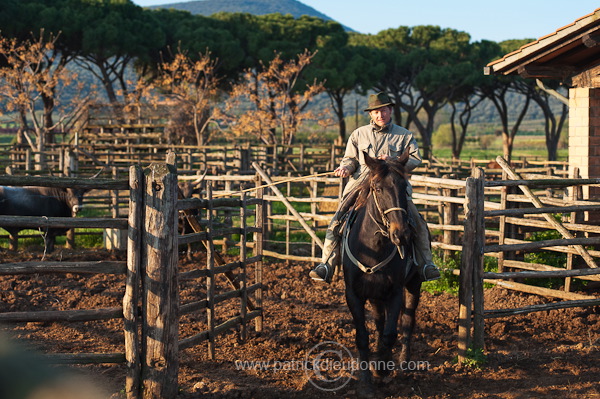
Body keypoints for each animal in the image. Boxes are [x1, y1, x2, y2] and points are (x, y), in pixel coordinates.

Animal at [342, 152, 422, 396]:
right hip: (376, 295)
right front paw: (366, 382)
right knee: (378, 322)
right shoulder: (353, 295)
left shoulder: (395, 292)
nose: (402, 235)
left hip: (414, 285)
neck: (373, 247)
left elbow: (391, 334)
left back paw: (404, 363)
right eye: (377, 188)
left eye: (404, 187)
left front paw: (382, 369)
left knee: (407, 321)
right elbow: (362, 336)